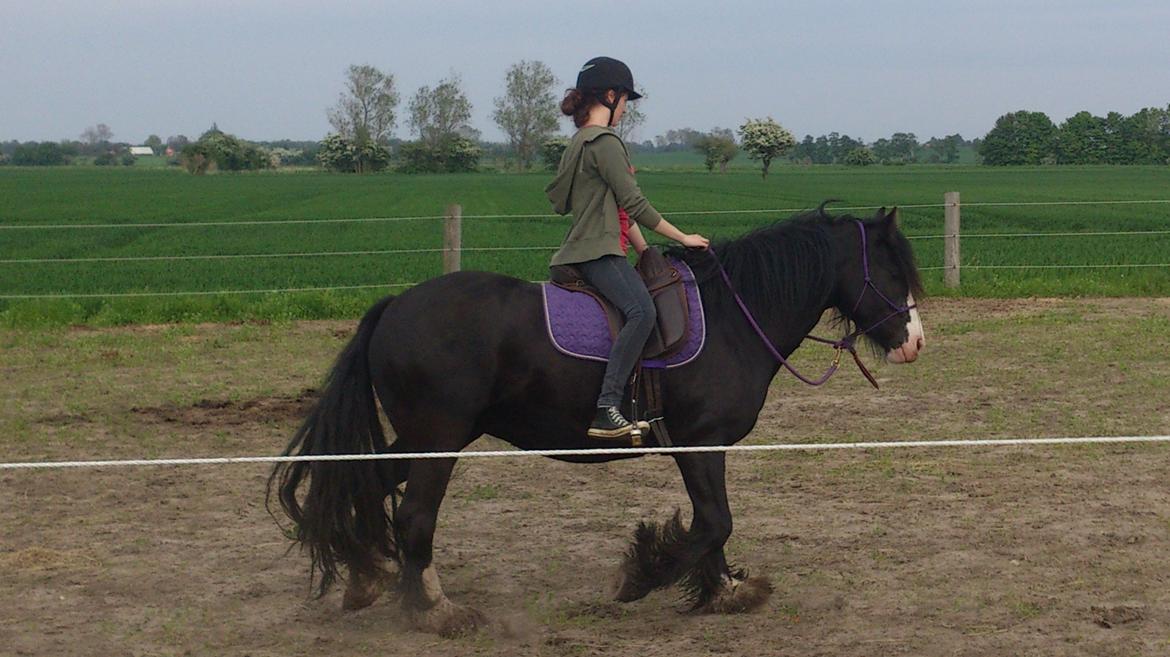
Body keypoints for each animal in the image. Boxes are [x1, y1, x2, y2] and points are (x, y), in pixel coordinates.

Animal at [269, 204, 926, 635]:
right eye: (893, 274)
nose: (915, 342)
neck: (733, 316)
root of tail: (394, 306)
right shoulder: (700, 443)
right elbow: (714, 521)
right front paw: (643, 575)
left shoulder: (698, 448)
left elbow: (714, 524)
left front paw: (725, 591)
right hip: (439, 439)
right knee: (413, 517)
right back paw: (435, 609)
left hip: (423, 438)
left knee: (366, 484)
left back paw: (364, 578)